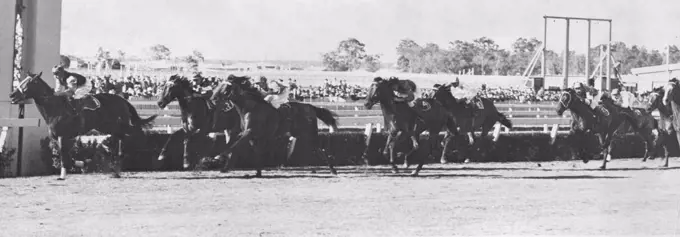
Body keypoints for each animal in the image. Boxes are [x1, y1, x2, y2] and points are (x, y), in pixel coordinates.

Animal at [8, 71, 157, 180]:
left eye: (29, 82)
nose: (12, 95)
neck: (54, 108)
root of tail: (122, 99)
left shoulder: (62, 136)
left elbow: (63, 155)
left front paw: (63, 175)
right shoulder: (58, 137)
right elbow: (63, 155)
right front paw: (83, 162)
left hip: (118, 124)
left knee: (131, 132)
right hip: (106, 126)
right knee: (119, 137)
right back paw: (116, 167)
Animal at [211, 75, 340, 177]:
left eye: (226, 87)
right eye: (218, 85)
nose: (213, 98)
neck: (250, 108)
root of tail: (311, 107)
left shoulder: (250, 132)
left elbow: (234, 146)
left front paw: (219, 157)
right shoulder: (253, 136)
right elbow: (252, 151)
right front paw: (257, 172)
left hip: (310, 134)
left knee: (321, 150)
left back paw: (333, 170)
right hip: (302, 135)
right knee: (318, 150)